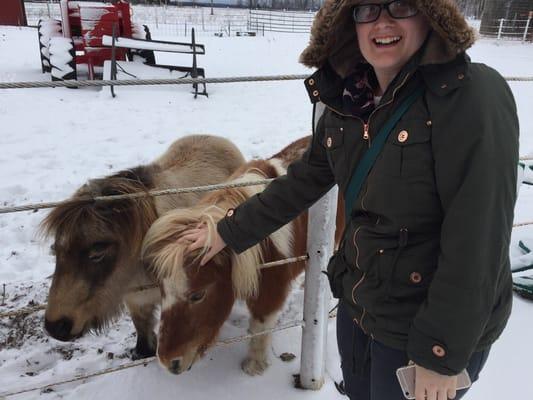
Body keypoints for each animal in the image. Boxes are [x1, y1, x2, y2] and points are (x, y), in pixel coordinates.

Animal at [139, 138, 342, 376]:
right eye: (162, 291)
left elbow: (260, 327)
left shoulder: (271, 292)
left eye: (198, 295)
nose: (168, 362)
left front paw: (254, 366)